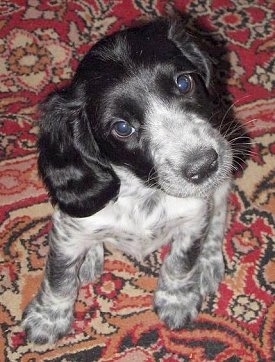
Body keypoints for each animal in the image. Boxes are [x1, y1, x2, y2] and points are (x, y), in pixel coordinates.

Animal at [22, 17, 237, 346]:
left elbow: (181, 261)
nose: (204, 166)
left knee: (218, 218)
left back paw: (209, 263)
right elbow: (58, 277)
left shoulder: (193, 217)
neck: (144, 193)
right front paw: (47, 318)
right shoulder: (67, 231)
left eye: (184, 83)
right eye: (122, 128)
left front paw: (177, 299)